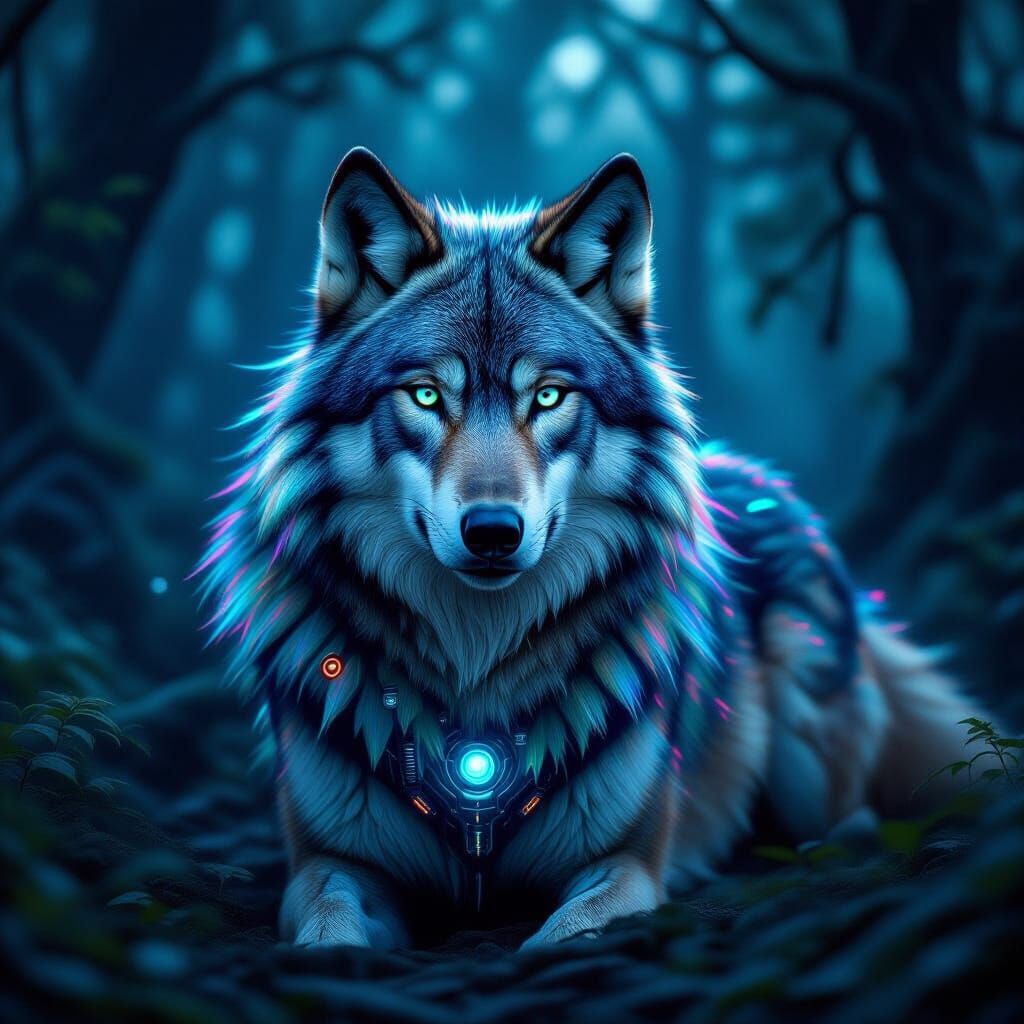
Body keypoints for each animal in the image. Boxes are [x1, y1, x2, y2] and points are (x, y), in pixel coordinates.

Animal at [195, 148, 978, 948]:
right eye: (425, 396)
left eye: (547, 396)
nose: (492, 531)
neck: (477, 679)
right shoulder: (328, 862)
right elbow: (329, 931)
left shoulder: (629, 866)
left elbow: (563, 934)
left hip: (804, 708)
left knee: (856, 816)